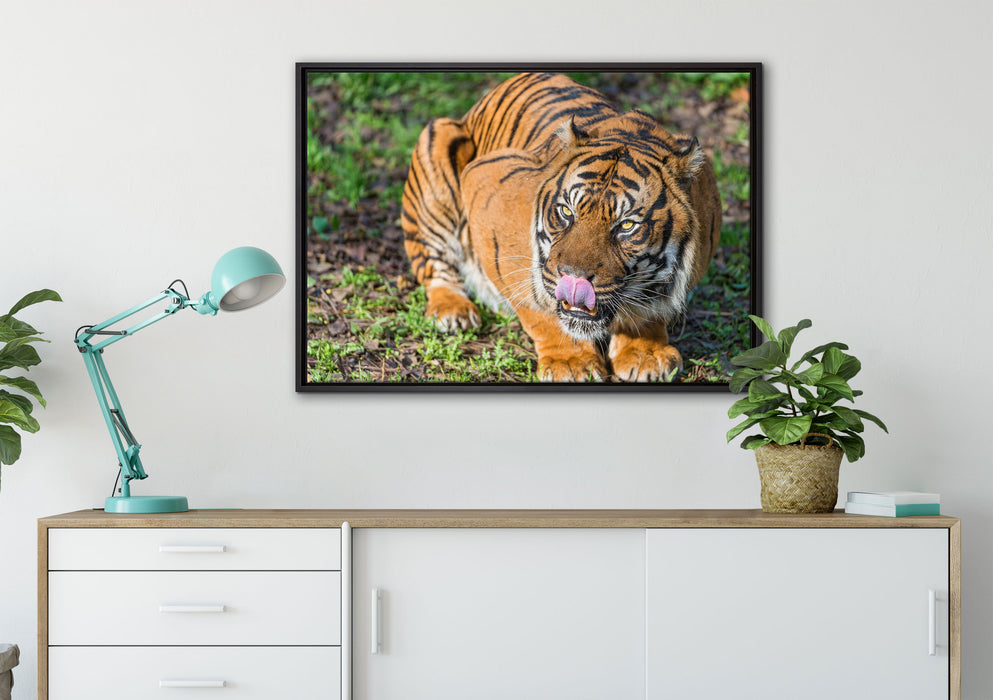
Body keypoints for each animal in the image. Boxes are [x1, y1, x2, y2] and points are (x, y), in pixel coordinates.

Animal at [400, 72, 722, 382]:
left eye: (627, 225)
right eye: (567, 211)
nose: (575, 278)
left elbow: (648, 309)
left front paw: (645, 354)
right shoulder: (488, 187)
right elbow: (540, 306)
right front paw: (570, 362)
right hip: (437, 151)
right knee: (433, 265)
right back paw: (453, 311)